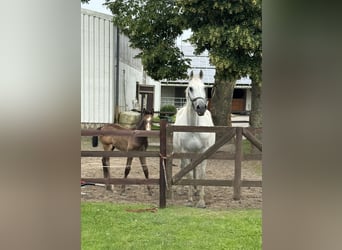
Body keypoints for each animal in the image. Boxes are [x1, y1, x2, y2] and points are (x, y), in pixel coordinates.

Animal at [172, 70, 215, 207]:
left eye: (204, 87)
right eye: (190, 88)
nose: (201, 107)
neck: (194, 128)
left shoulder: (203, 152)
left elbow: (201, 174)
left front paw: (201, 201)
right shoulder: (185, 151)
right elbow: (189, 173)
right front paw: (190, 200)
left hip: (196, 153)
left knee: (195, 167)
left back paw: (197, 190)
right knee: (184, 168)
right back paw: (182, 190)